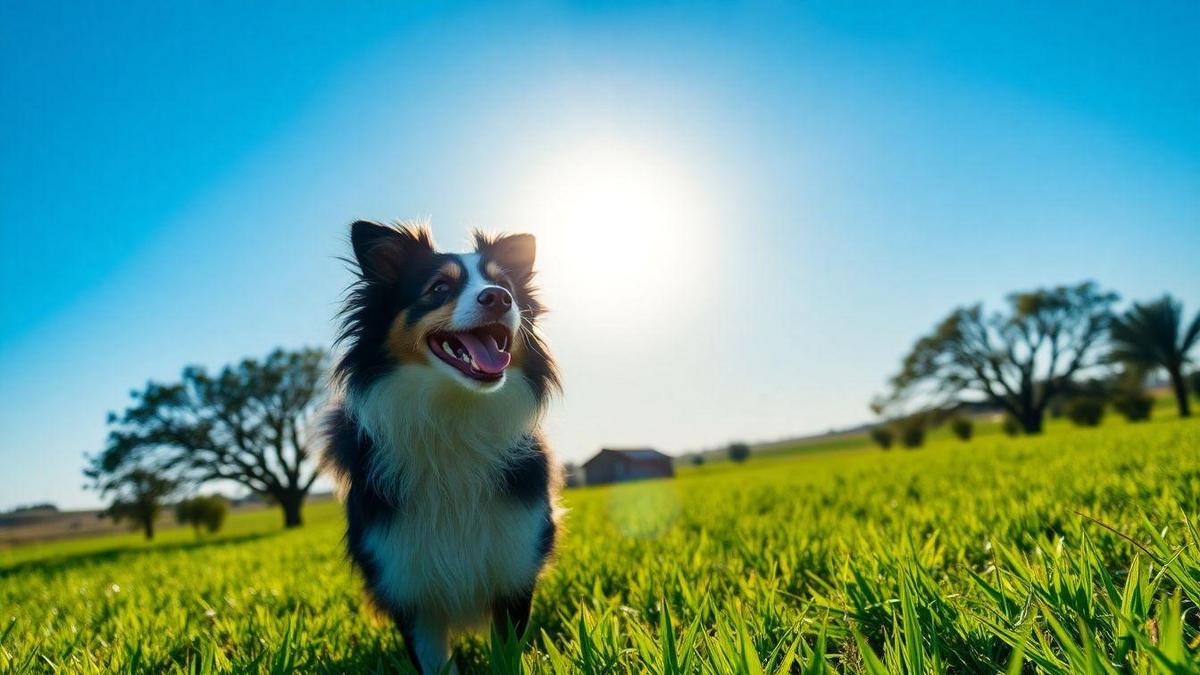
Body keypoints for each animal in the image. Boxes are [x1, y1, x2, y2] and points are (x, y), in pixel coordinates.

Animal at [319, 218, 561, 667]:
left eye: (505, 285)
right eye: (438, 288)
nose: (499, 298)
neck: (453, 418)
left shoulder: (513, 565)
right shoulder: (407, 582)